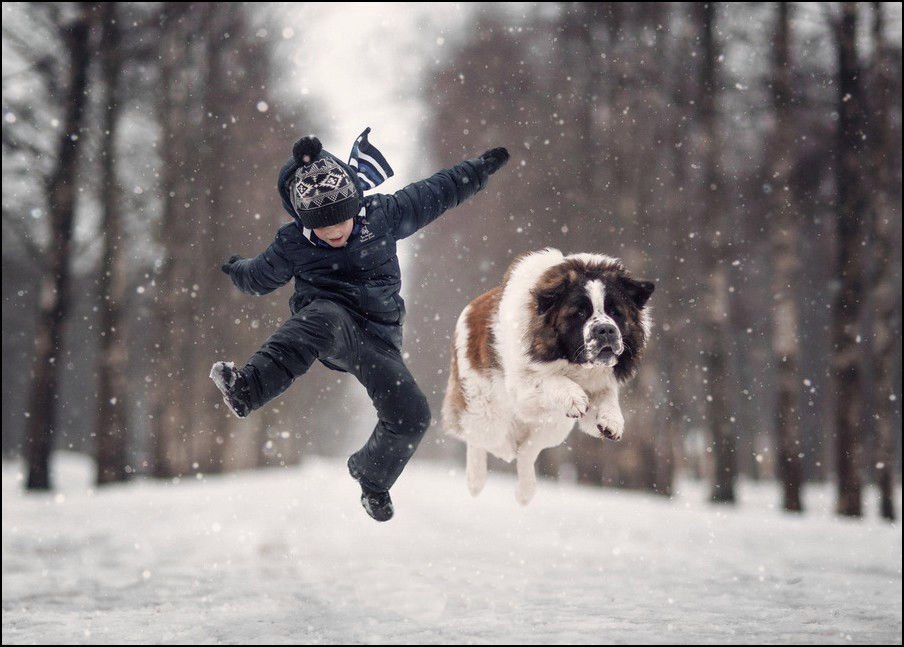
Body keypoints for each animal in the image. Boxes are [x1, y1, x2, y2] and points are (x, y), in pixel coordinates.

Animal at [442, 248, 652, 506]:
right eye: (580, 313)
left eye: (615, 312)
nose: (605, 330)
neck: (573, 364)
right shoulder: (522, 389)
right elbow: (549, 379)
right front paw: (573, 395)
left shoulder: (598, 384)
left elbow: (605, 396)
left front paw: (611, 419)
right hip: (488, 413)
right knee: (480, 438)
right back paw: (477, 478)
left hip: (554, 425)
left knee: (526, 451)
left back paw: (525, 491)